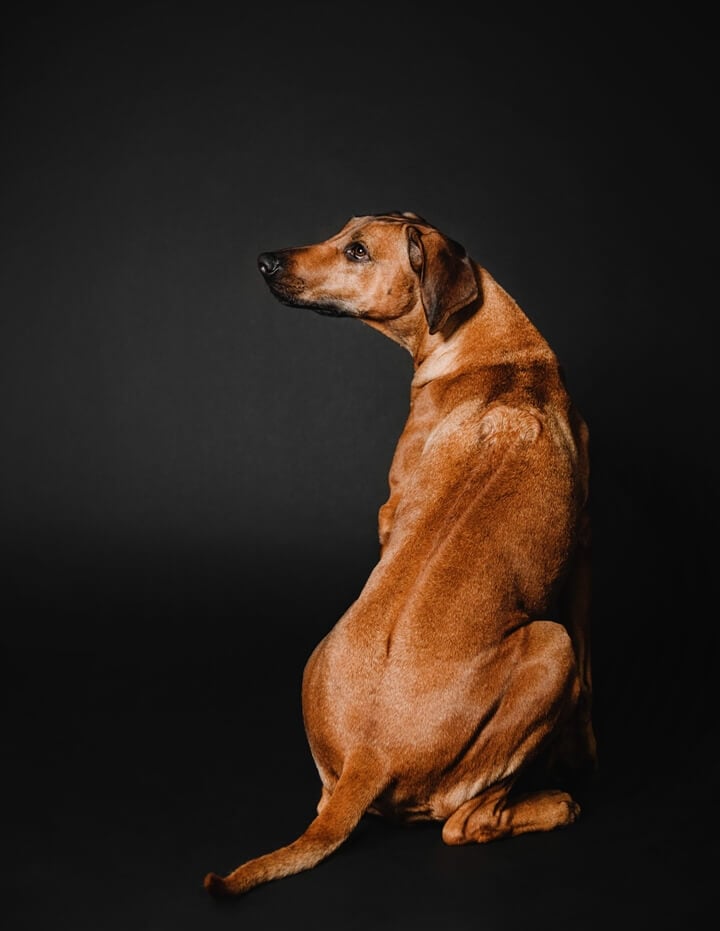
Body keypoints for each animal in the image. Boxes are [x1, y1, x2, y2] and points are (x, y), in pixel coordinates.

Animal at [202, 209, 596, 896]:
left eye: (357, 251)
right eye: (341, 232)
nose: (266, 260)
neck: (492, 349)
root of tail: (369, 756)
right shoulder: (581, 553)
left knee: (460, 822)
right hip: (552, 647)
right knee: (463, 822)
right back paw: (554, 799)